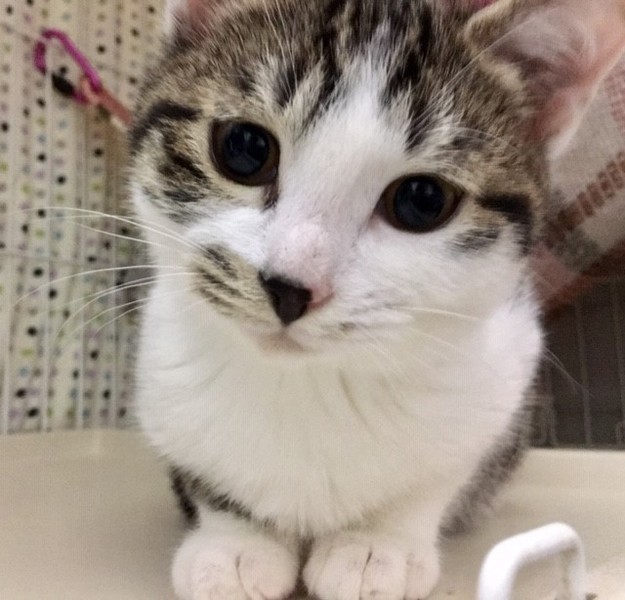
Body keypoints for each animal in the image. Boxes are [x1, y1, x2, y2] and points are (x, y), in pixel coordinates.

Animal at [128, 0, 625, 598]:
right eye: (244, 149)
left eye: (422, 200)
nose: (291, 287)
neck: (311, 385)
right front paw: (236, 542)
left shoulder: (506, 371)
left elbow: (440, 475)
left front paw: (376, 544)